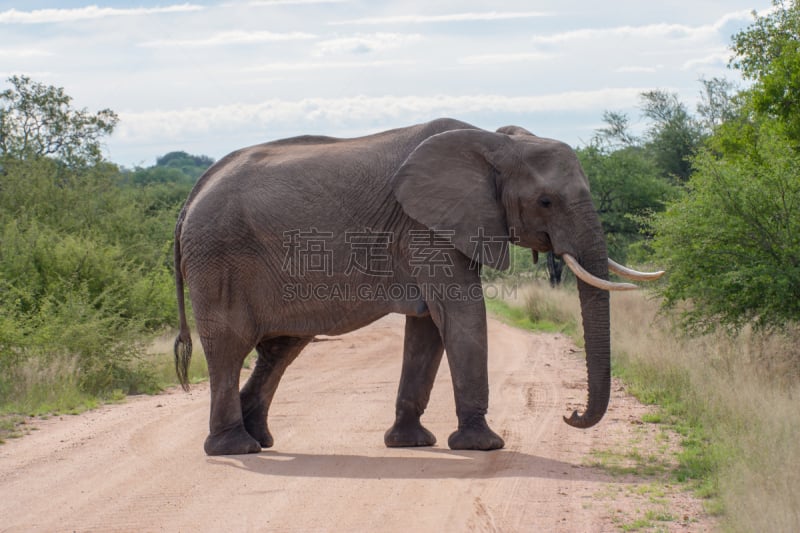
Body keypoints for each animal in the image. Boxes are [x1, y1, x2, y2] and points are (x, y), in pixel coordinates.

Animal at [173, 116, 664, 454]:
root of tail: (191, 196)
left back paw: (260, 440)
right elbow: (463, 312)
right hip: (218, 258)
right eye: (545, 201)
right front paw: (483, 445)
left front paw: (411, 442)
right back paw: (235, 448)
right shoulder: (425, 228)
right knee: (229, 345)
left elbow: (429, 327)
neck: (496, 141)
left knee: (280, 348)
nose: (571, 413)